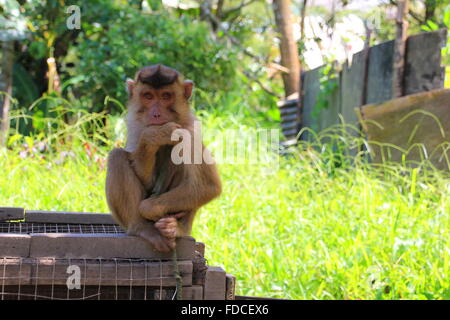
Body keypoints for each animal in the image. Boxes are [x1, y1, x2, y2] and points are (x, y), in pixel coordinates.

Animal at [103, 63, 220, 251]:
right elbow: (147, 179)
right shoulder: (136, 128)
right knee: (117, 156)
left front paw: (149, 208)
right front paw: (154, 135)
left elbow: (207, 185)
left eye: (166, 96)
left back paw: (174, 227)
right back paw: (141, 228)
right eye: (148, 96)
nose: (156, 114)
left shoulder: (189, 132)